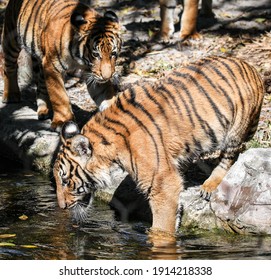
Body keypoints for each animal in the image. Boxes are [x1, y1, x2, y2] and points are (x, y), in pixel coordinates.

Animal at [1, 0, 122, 129]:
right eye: (95, 55)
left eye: (113, 53)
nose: (107, 77)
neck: (79, 59)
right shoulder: (52, 67)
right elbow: (59, 97)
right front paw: (63, 121)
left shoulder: (93, 73)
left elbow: (106, 95)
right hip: (11, 39)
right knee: (9, 67)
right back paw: (11, 95)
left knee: (41, 84)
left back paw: (44, 109)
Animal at [53, 55, 266, 235]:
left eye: (66, 181)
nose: (61, 207)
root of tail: (249, 66)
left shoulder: (162, 184)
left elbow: (161, 228)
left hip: (235, 129)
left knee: (229, 157)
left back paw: (209, 185)